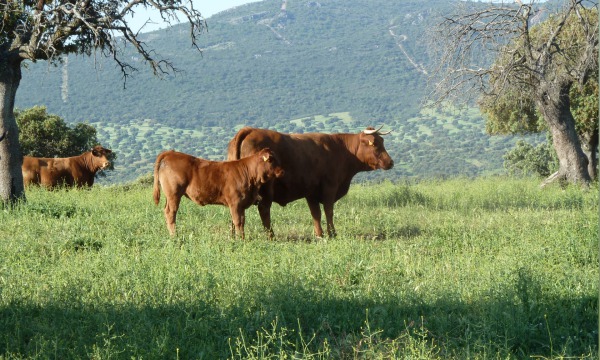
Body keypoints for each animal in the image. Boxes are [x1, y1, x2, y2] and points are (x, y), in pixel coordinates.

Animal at [152, 148, 284, 238]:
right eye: (271, 159)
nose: (282, 171)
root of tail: (171, 153)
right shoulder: (235, 203)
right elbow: (237, 222)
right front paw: (241, 240)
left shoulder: (241, 205)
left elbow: (241, 222)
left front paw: (239, 238)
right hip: (174, 194)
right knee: (171, 212)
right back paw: (175, 235)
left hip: (170, 196)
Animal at [226, 126, 394, 239]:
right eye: (375, 144)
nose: (390, 162)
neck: (341, 150)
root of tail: (249, 130)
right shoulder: (330, 187)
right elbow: (328, 211)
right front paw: (332, 233)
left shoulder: (311, 192)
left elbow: (315, 213)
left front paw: (319, 234)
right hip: (266, 189)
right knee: (264, 211)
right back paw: (271, 237)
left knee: (235, 213)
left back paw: (233, 237)